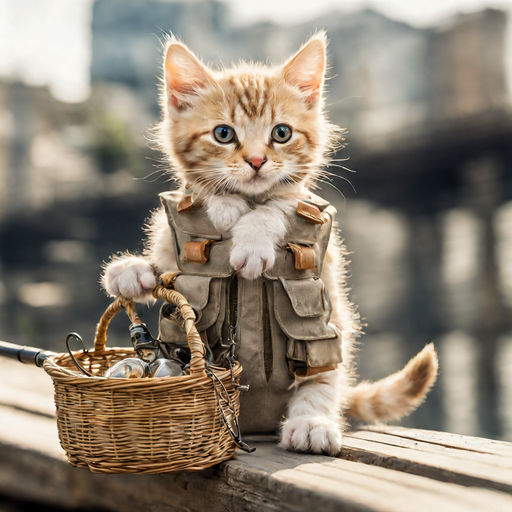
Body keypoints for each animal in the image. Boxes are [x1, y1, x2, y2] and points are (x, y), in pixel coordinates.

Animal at [102, 33, 438, 456]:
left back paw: (311, 423)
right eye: (223, 134)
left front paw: (251, 241)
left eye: (281, 133)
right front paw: (132, 269)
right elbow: (168, 267)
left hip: (331, 328)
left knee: (325, 375)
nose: (258, 161)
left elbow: (280, 205)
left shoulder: (310, 221)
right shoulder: (173, 241)